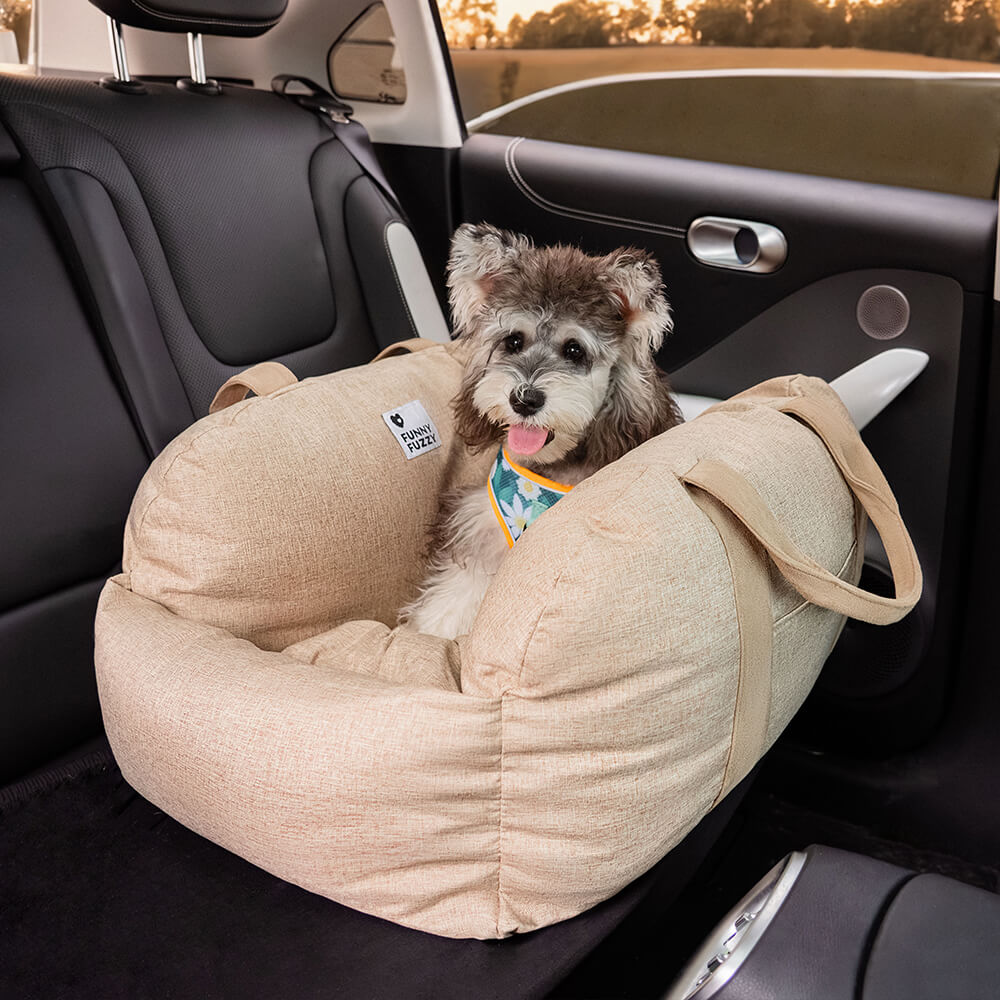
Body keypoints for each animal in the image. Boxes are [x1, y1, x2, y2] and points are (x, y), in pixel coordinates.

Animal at [396, 222, 680, 636]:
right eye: (514, 340)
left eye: (575, 350)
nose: (525, 399)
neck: (550, 466)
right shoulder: (481, 525)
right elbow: (460, 589)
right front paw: (437, 626)